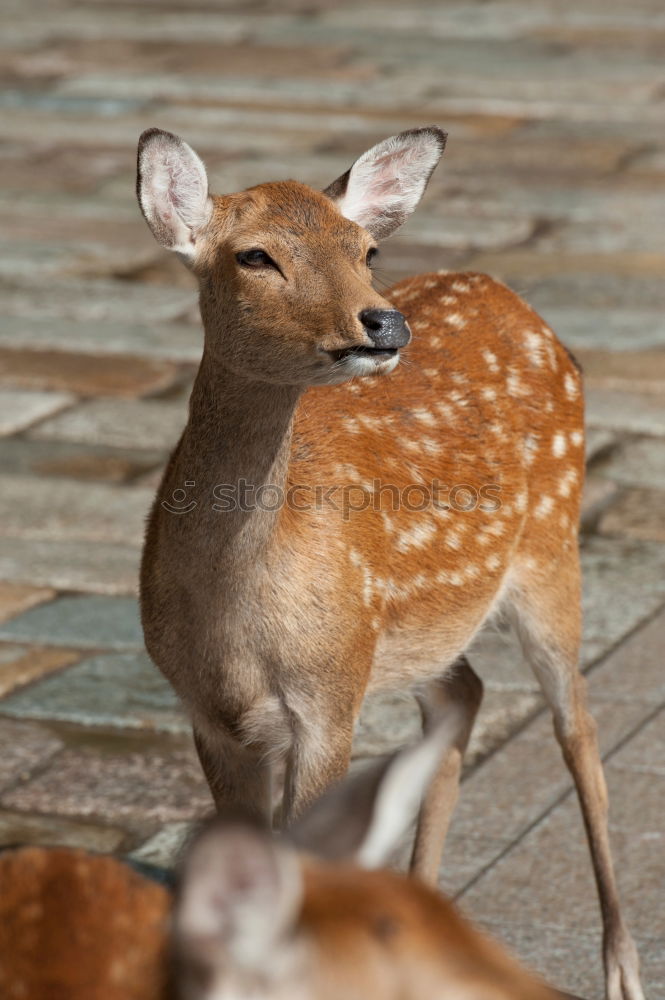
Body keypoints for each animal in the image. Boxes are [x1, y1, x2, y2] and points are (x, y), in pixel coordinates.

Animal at [136, 127, 644, 1000]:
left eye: (365, 249)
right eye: (254, 255)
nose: (381, 322)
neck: (235, 608)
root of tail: (516, 302)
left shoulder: (329, 693)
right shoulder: (207, 712)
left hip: (551, 548)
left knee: (576, 724)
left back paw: (619, 968)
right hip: (417, 629)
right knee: (462, 693)